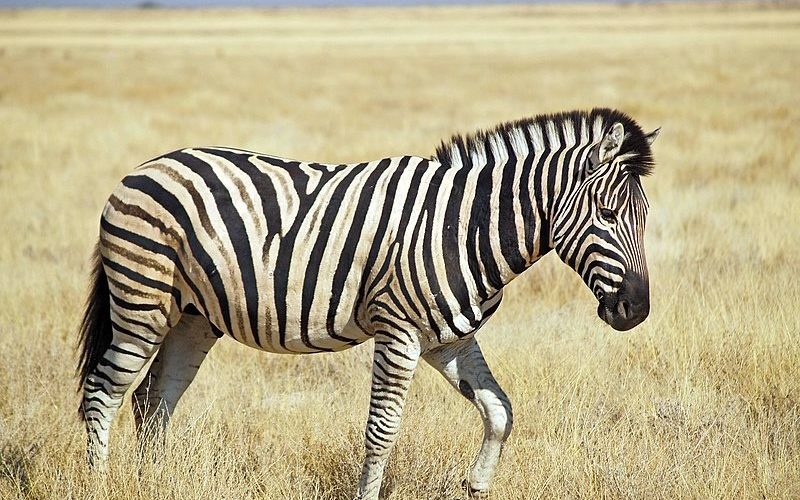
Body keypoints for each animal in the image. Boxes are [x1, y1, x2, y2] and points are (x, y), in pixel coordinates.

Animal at [77, 108, 658, 499]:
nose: (637, 312)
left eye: (644, 217)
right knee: (103, 392)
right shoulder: (397, 331)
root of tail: (144, 167)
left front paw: (477, 485)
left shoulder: (449, 339)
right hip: (142, 301)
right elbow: (382, 433)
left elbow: (499, 411)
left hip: (194, 317)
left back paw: (154, 482)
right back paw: (100, 482)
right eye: (608, 214)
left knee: (152, 400)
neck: (465, 228)